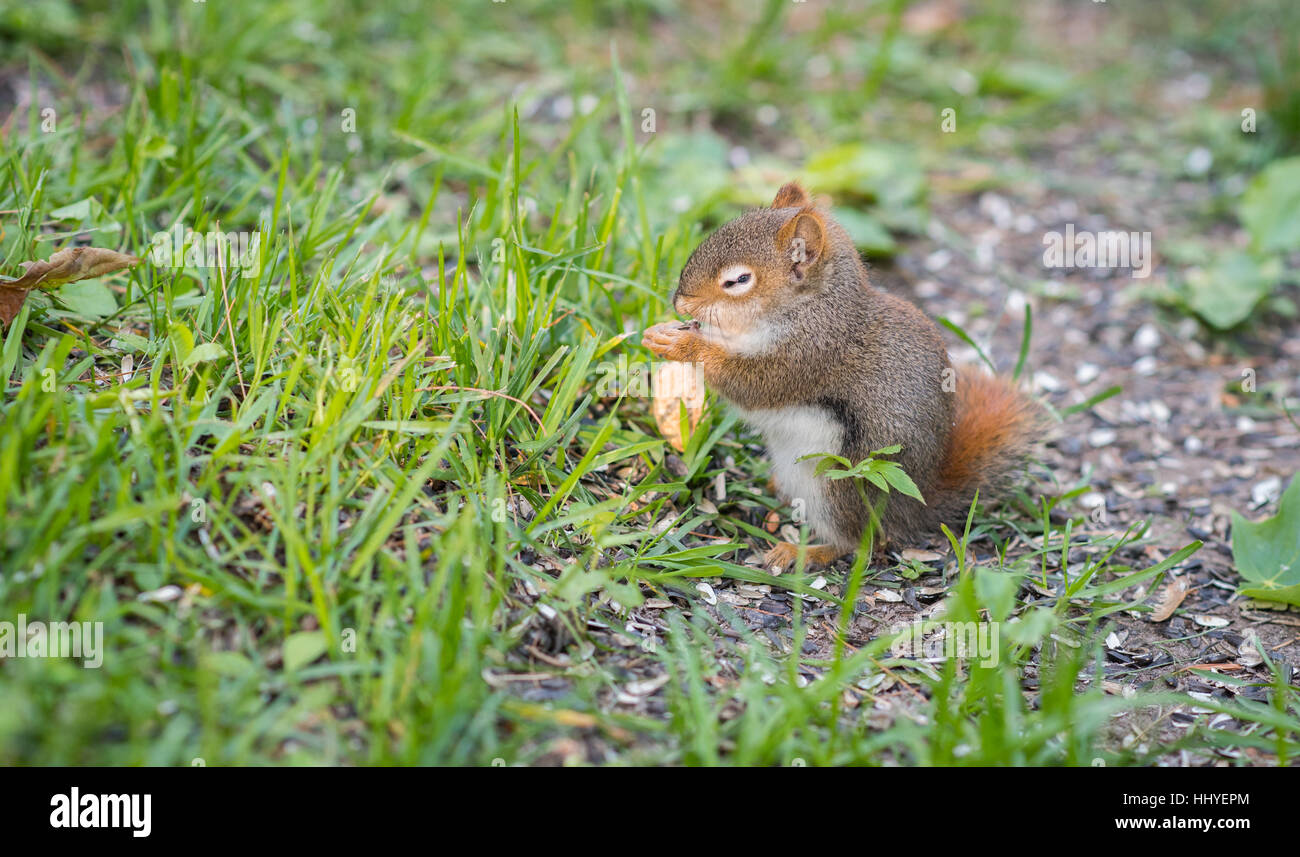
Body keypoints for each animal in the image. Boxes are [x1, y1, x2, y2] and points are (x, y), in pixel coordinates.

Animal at [642, 180, 1045, 569]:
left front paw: (684, 346)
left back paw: (803, 552)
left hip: (839, 485)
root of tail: (914, 509)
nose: (679, 302)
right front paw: (665, 330)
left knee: (859, 544)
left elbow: (750, 384)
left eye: (738, 280)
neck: (810, 307)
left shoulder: (809, 355)